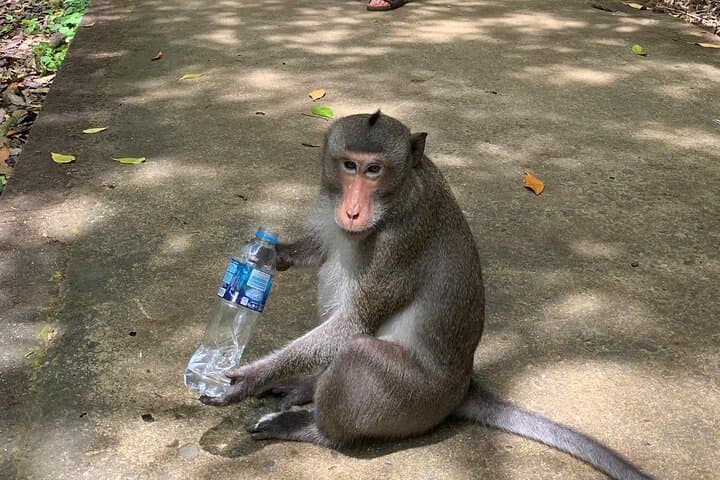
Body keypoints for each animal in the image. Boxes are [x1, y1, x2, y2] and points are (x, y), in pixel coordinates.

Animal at [200, 111, 654, 480]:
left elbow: (355, 323)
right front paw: (275, 253)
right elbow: (324, 250)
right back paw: (309, 385)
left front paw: (249, 376)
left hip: (415, 399)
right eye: (349, 165)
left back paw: (315, 428)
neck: (402, 190)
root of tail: (464, 384)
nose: (351, 211)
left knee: (359, 354)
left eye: (374, 170)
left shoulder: (401, 244)